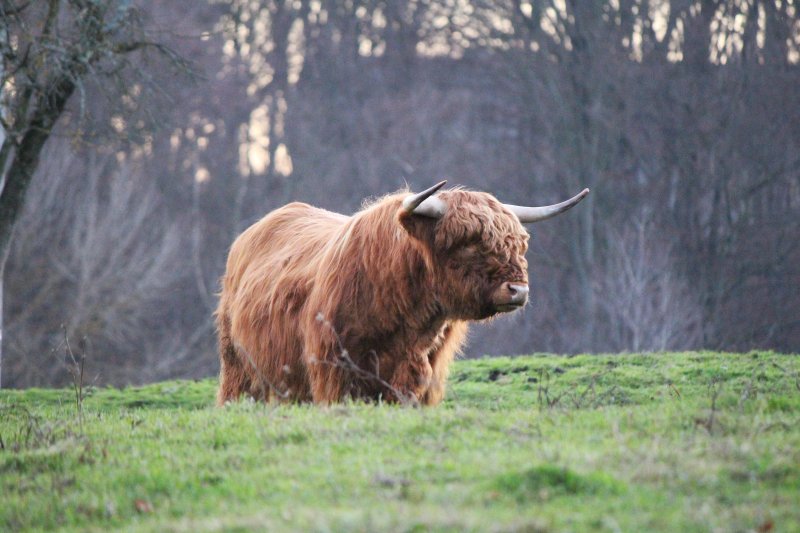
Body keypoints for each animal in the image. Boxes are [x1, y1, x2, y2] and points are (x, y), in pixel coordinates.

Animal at [212, 181, 588, 406]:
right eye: (468, 244)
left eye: (520, 244)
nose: (518, 289)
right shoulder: (334, 372)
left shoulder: (421, 379)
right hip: (238, 367)